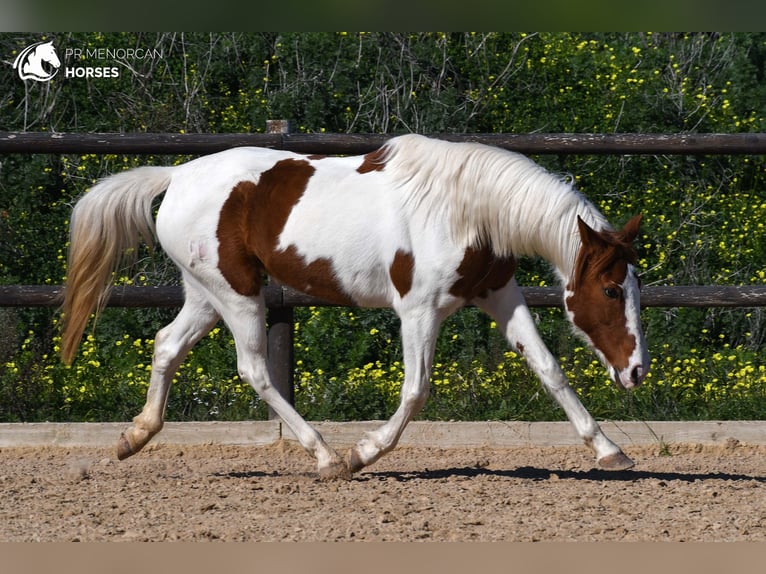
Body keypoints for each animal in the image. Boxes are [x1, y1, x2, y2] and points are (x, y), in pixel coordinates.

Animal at [60, 136, 652, 482]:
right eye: (611, 290)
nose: (636, 372)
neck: (464, 209)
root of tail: (177, 176)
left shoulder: (499, 294)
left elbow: (548, 368)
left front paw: (609, 451)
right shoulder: (419, 310)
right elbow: (416, 391)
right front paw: (363, 453)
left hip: (207, 293)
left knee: (167, 345)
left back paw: (134, 437)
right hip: (237, 293)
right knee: (254, 369)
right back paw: (325, 457)